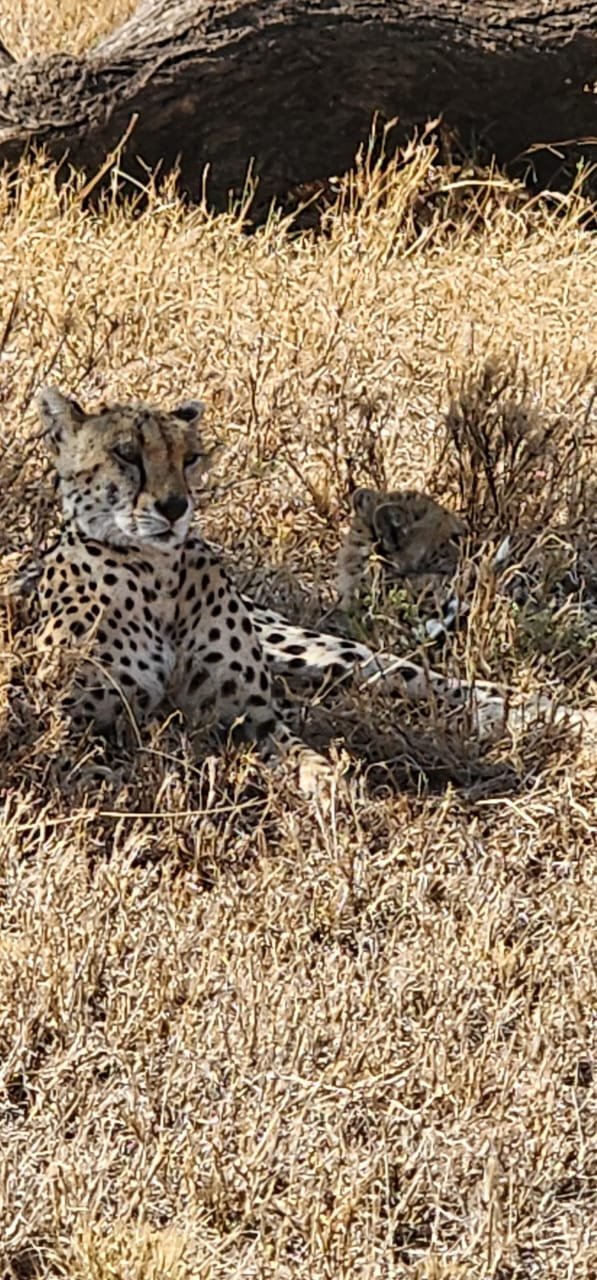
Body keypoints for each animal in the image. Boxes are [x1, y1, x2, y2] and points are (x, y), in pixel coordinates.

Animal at [24, 387, 593, 790]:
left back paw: (561, 717)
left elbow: (310, 762)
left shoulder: (251, 716)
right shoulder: (72, 717)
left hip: (312, 650)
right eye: (127, 455)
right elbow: (86, 765)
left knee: (431, 680)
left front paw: (339, 797)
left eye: (189, 459)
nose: (174, 507)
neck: (157, 573)